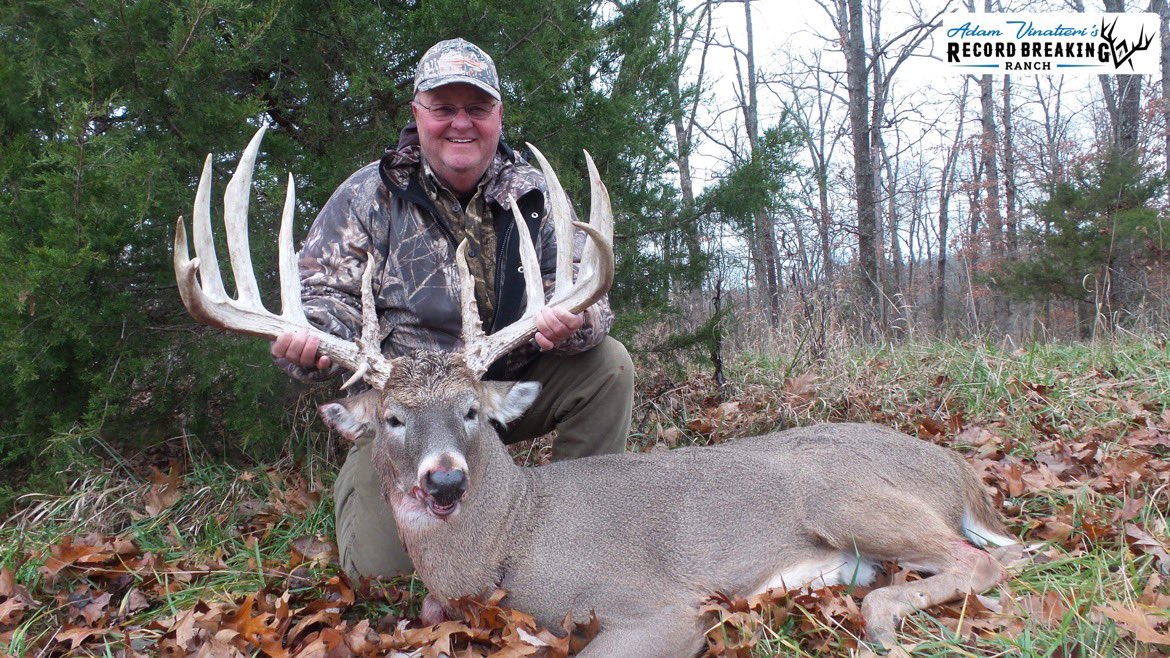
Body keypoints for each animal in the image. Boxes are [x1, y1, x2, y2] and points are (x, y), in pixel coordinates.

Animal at [174, 126, 1019, 657]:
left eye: (473, 411)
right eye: (392, 419)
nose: (444, 481)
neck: (507, 541)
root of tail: (960, 473)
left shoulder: (659, 601)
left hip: (846, 497)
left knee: (979, 561)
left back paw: (879, 621)